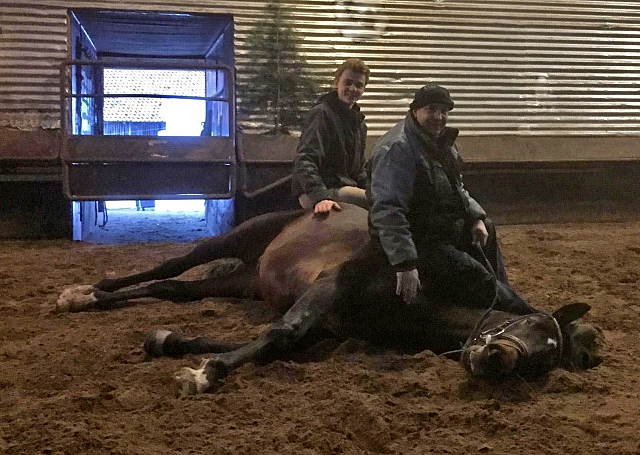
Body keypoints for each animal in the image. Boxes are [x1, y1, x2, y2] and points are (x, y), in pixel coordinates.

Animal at [57, 204, 604, 396]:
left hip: (244, 281)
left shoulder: (328, 323)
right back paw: (85, 292)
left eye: (543, 361)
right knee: (169, 267)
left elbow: (262, 340)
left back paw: (97, 299)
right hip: (239, 239)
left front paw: (172, 344)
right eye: (531, 325)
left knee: (172, 289)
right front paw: (205, 374)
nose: (496, 359)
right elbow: (280, 333)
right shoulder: (328, 289)